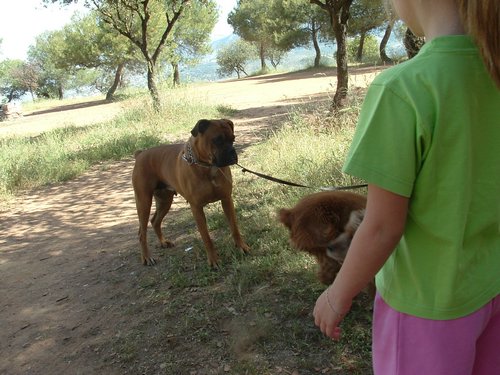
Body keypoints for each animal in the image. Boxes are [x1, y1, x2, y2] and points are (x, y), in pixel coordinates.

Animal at [132, 119, 250, 268]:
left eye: (233, 139)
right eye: (217, 140)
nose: (232, 152)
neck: (207, 167)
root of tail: (140, 154)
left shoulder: (227, 200)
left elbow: (234, 227)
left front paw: (241, 247)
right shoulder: (197, 208)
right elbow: (206, 237)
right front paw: (213, 260)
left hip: (165, 201)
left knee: (155, 221)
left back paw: (163, 242)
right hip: (144, 202)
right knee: (142, 233)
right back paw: (147, 257)